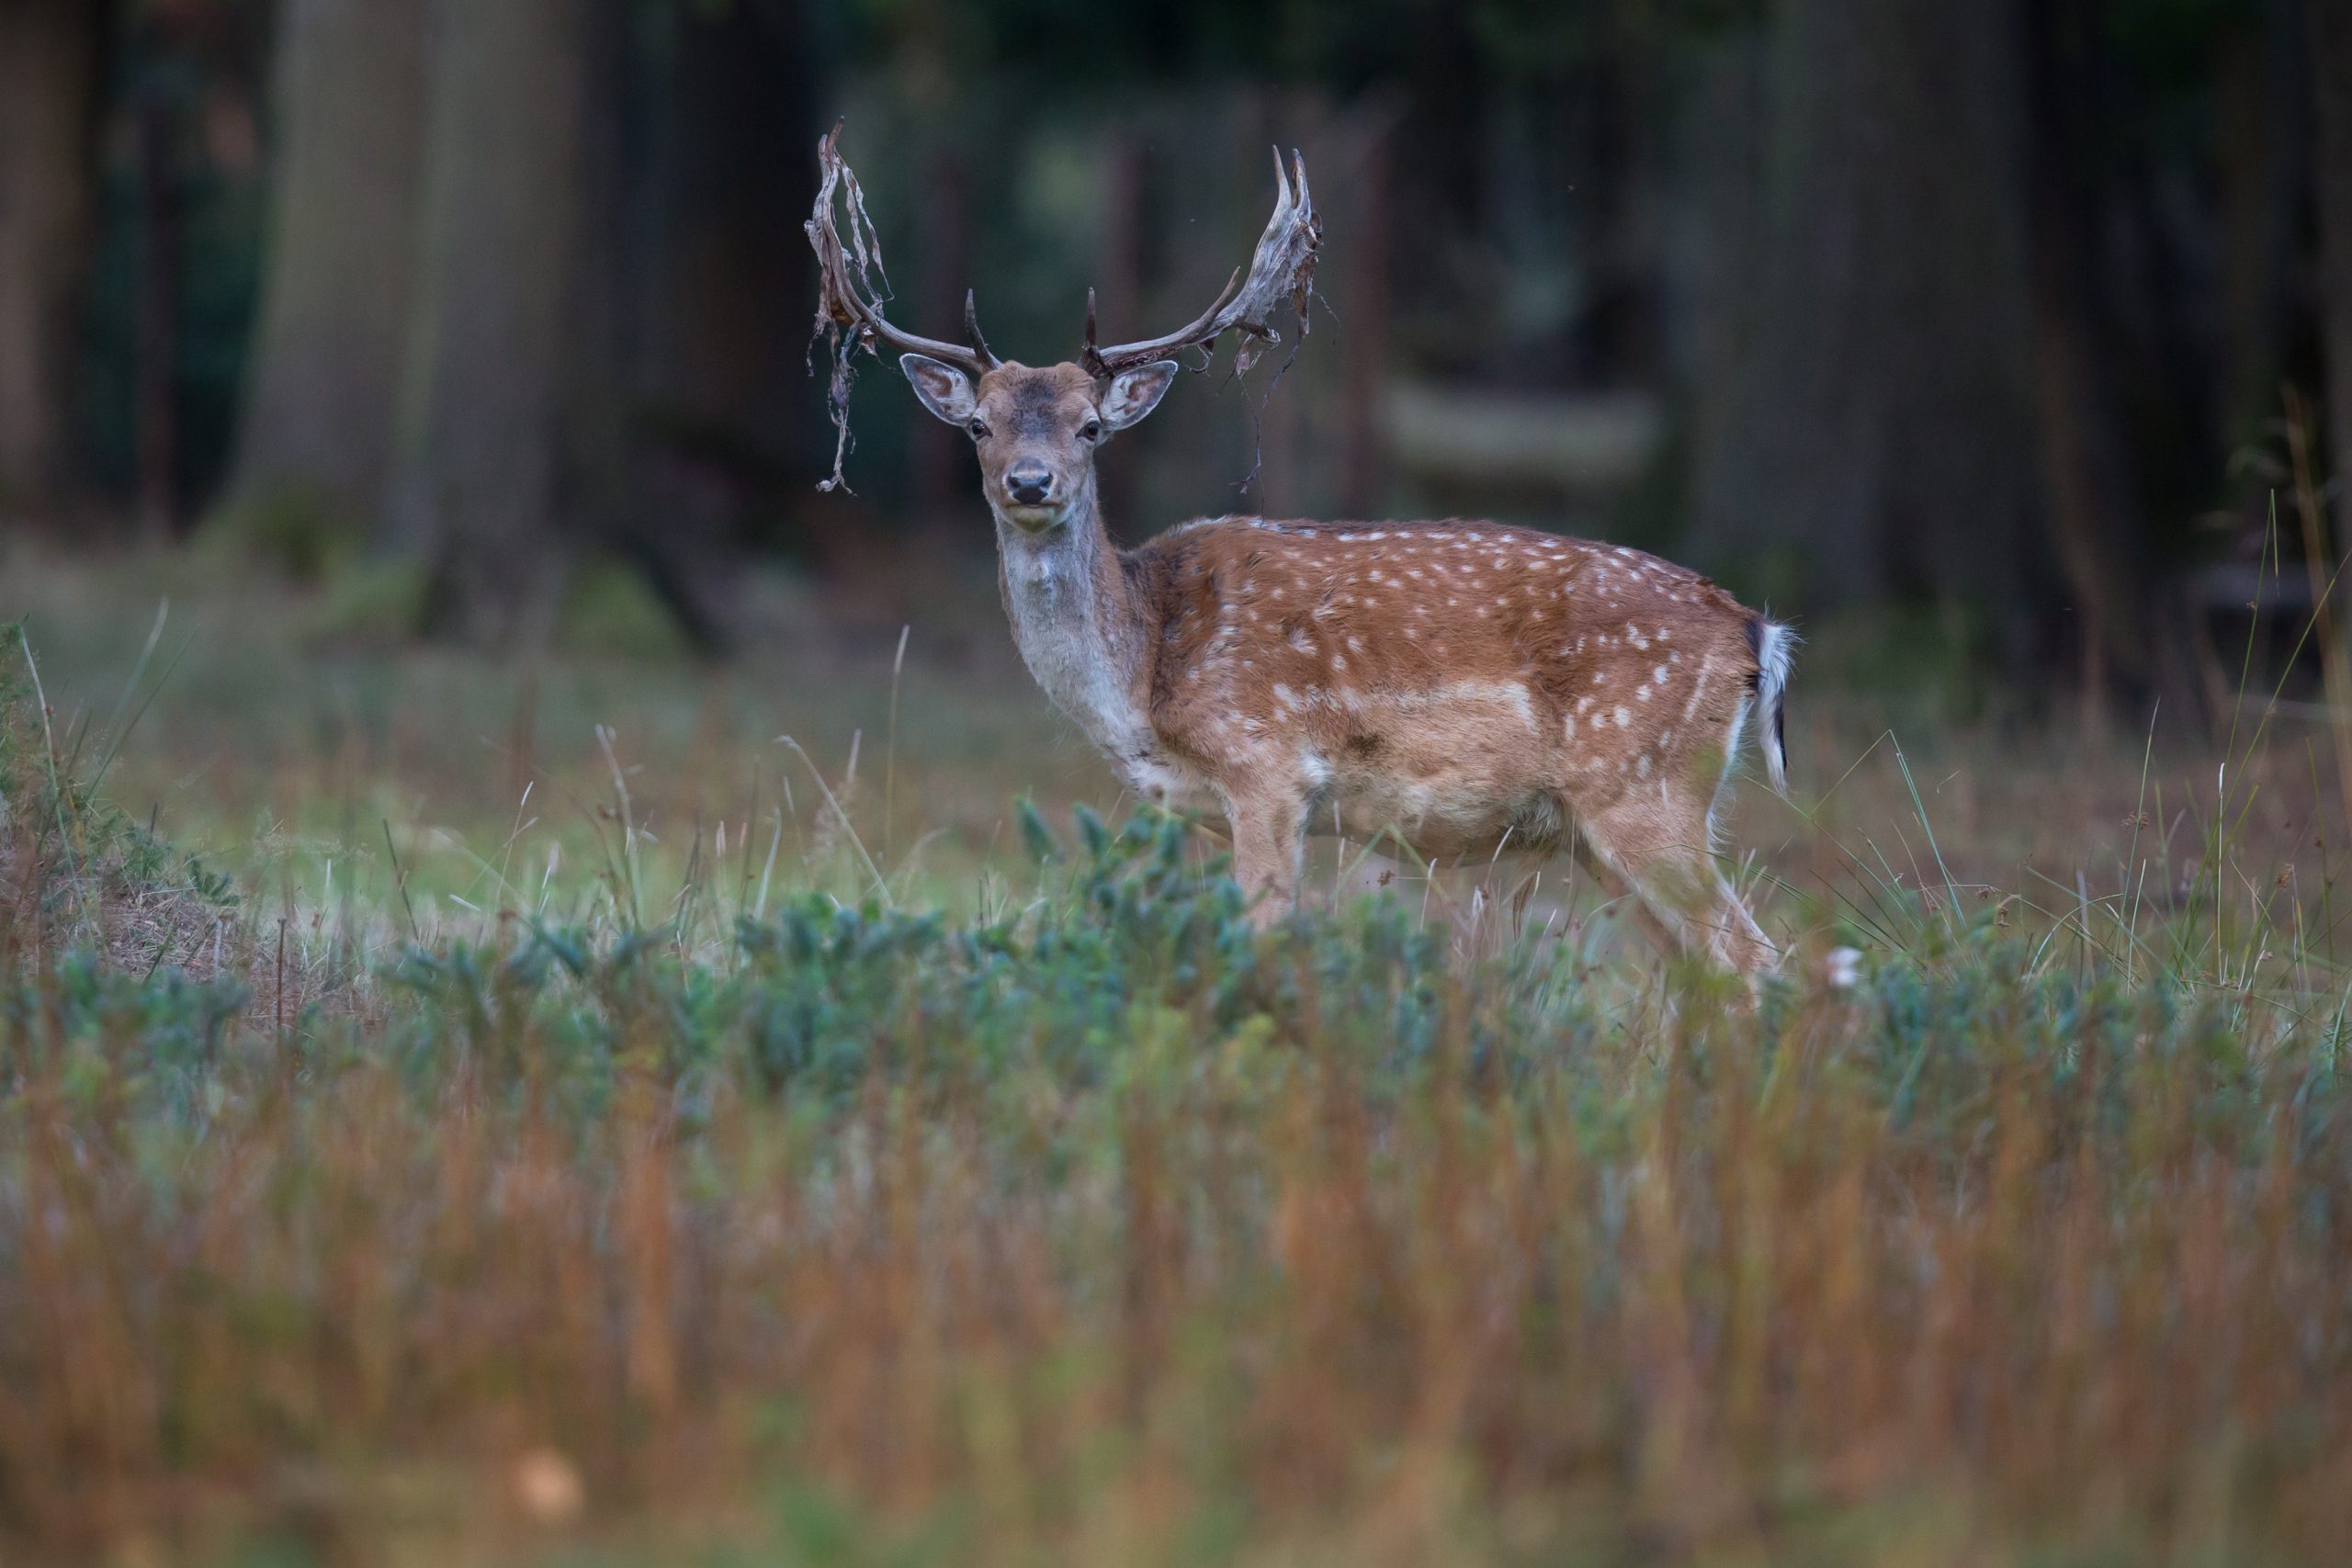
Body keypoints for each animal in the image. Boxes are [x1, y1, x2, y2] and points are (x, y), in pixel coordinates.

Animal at [813, 131, 1796, 982]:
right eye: (980, 425)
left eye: (1090, 427)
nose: (1028, 481)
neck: (1144, 673)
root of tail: (1757, 631)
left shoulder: (1268, 767)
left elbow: (1263, 938)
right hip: (1602, 830)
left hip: (1644, 785)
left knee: (1758, 960)